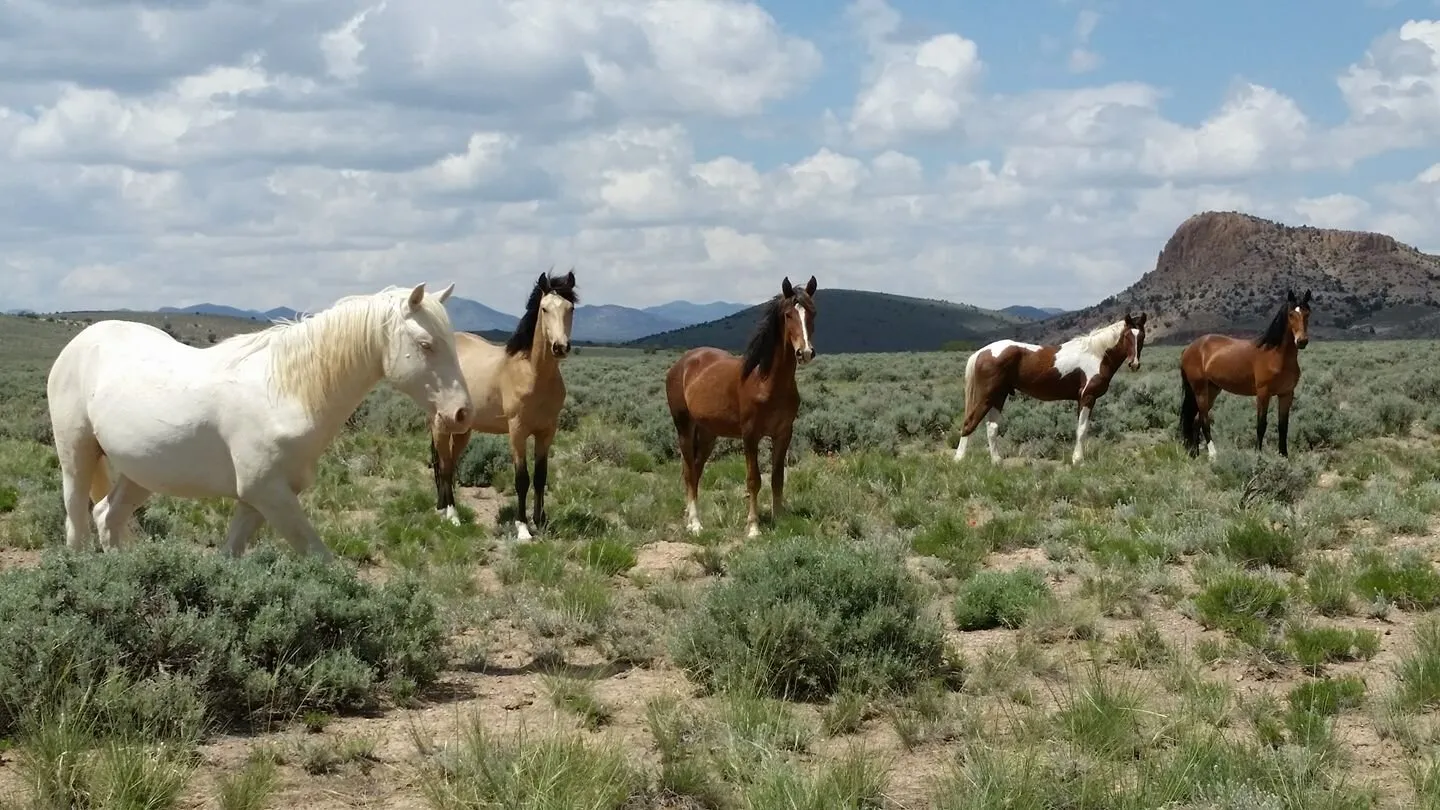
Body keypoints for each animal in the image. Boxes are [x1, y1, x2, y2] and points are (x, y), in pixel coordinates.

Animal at [46, 283, 472, 559]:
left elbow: (230, 556)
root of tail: (79, 343)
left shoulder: (256, 502)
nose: (462, 413)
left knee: (107, 517)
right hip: (76, 456)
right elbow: (319, 556)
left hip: (142, 473)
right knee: (77, 524)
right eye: (425, 345)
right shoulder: (269, 494)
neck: (284, 393)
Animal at [430, 270, 577, 541]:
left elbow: (540, 477)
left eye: (570, 308)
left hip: (463, 430)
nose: (560, 347)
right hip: (440, 425)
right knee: (443, 466)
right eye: (544, 309)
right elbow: (522, 479)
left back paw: (442, 508)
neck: (533, 374)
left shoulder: (547, 431)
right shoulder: (517, 431)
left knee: (450, 464)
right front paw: (523, 528)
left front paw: (540, 521)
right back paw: (451, 515)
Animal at [665, 275, 817, 539]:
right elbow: (753, 479)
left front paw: (779, 519)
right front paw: (753, 527)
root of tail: (681, 364)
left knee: (696, 470)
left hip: (708, 434)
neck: (767, 382)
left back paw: (689, 517)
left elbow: (777, 478)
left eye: (812, 313)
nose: (805, 352)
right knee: (689, 471)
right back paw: (695, 523)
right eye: (788, 314)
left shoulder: (783, 434)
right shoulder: (750, 435)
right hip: (684, 428)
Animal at [953, 312, 1147, 465]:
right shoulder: (1088, 397)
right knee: (969, 423)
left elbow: (1080, 428)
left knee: (991, 427)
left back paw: (996, 462)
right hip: (986, 396)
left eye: (1142, 337)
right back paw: (959, 459)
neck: (1096, 355)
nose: (1134, 364)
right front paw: (1078, 460)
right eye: (1127, 336)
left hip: (998, 396)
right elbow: (1082, 429)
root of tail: (982, 352)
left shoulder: (1081, 400)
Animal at [1180, 289, 1311, 460]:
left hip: (1213, 389)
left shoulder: (1286, 394)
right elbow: (1261, 425)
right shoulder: (1263, 394)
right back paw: (1213, 455)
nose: (1301, 341)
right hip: (1200, 389)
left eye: (1307, 313)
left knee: (1195, 420)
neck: (1275, 355)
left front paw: (1284, 456)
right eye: (1291, 314)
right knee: (1203, 420)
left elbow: (1283, 426)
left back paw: (1195, 454)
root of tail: (1189, 348)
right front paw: (1258, 455)